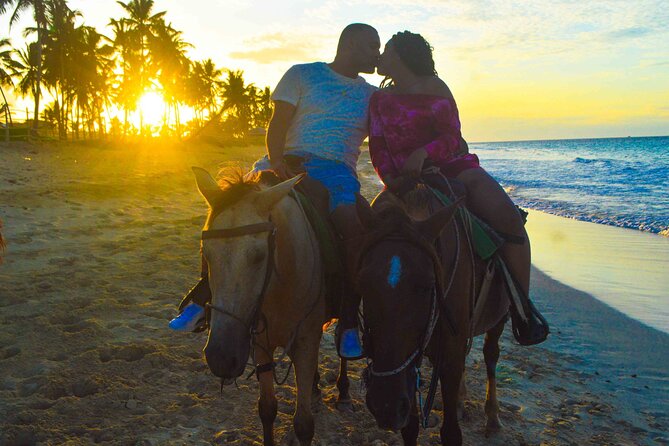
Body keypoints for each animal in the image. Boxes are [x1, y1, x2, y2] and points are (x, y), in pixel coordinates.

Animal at [190, 168, 352, 446]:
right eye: (206, 253)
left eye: (259, 255)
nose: (221, 357)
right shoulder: (260, 344)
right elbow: (267, 408)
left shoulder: (305, 341)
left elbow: (303, 424)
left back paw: (342, 391)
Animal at [358, 188, 508, 446]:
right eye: (363, 283)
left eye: (428, 286)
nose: (385, 405)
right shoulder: (410, 368)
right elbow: (410, 427)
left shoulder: (449, 356)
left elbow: (451, 434)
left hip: (498, 321)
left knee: (491, 354)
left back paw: (492, 415)